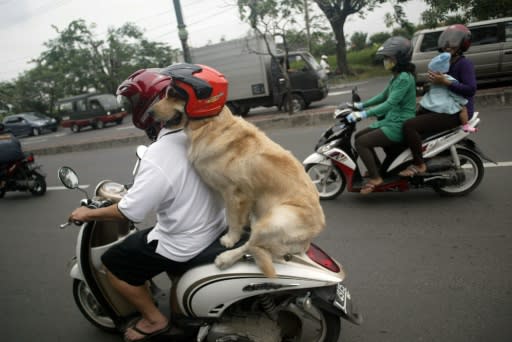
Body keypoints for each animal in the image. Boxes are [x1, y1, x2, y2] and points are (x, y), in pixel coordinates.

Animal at [151, 92, 324, 276]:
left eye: (173, 96)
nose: (149, 112)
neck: (210, 126)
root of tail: (307, 242)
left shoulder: (234, 192)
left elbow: (233, 219)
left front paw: (230, 238)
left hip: (275, 219)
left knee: (251, 244)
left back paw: (225, 258)